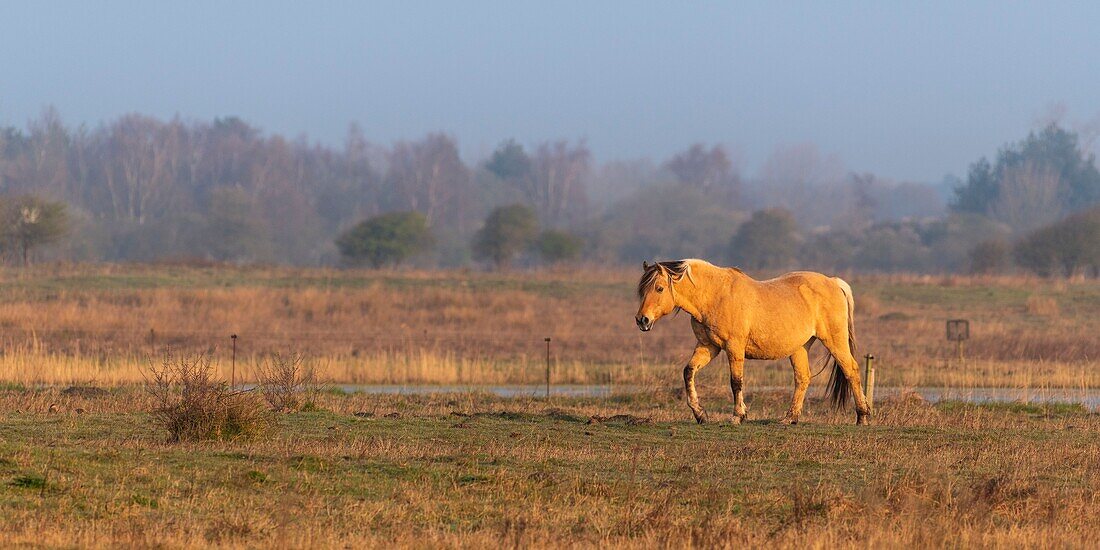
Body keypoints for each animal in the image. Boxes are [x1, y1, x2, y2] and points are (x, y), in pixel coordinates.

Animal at [633, 257, 871, 424]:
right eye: (642, 290)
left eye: (659, 288)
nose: (642, 320)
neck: (715, 295)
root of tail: (834, 282)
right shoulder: (708, 346)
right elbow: (688, 372)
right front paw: (700, 414)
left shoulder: (734, 348)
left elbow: (736, 382)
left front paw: (738, 416)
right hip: (800, 347)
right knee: (803, 378)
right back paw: (789, 418)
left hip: (834, 340)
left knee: (851, 370)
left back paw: (862, 416)